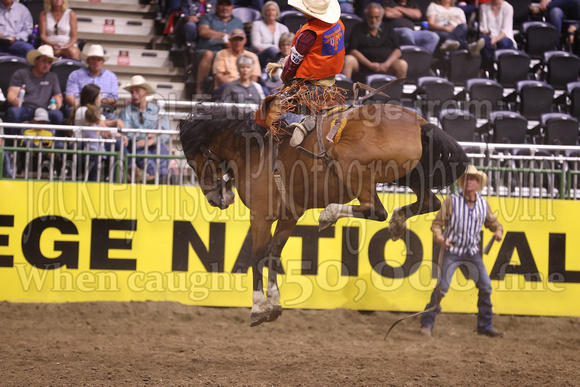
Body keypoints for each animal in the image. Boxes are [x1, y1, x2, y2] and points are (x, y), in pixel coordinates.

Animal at [179, 101, 468, 326]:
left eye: (194, 162)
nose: (214, 199)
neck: (253, 150)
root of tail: (419, 123)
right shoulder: (288, 216)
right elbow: (274, 253)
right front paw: (273, 303)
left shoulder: (261, 215)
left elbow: (258, 255)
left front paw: (258, 306)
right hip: (411, 174)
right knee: (430, 202)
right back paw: (397, 224)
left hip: (356, 171)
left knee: (376, 209)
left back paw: (330, 214)